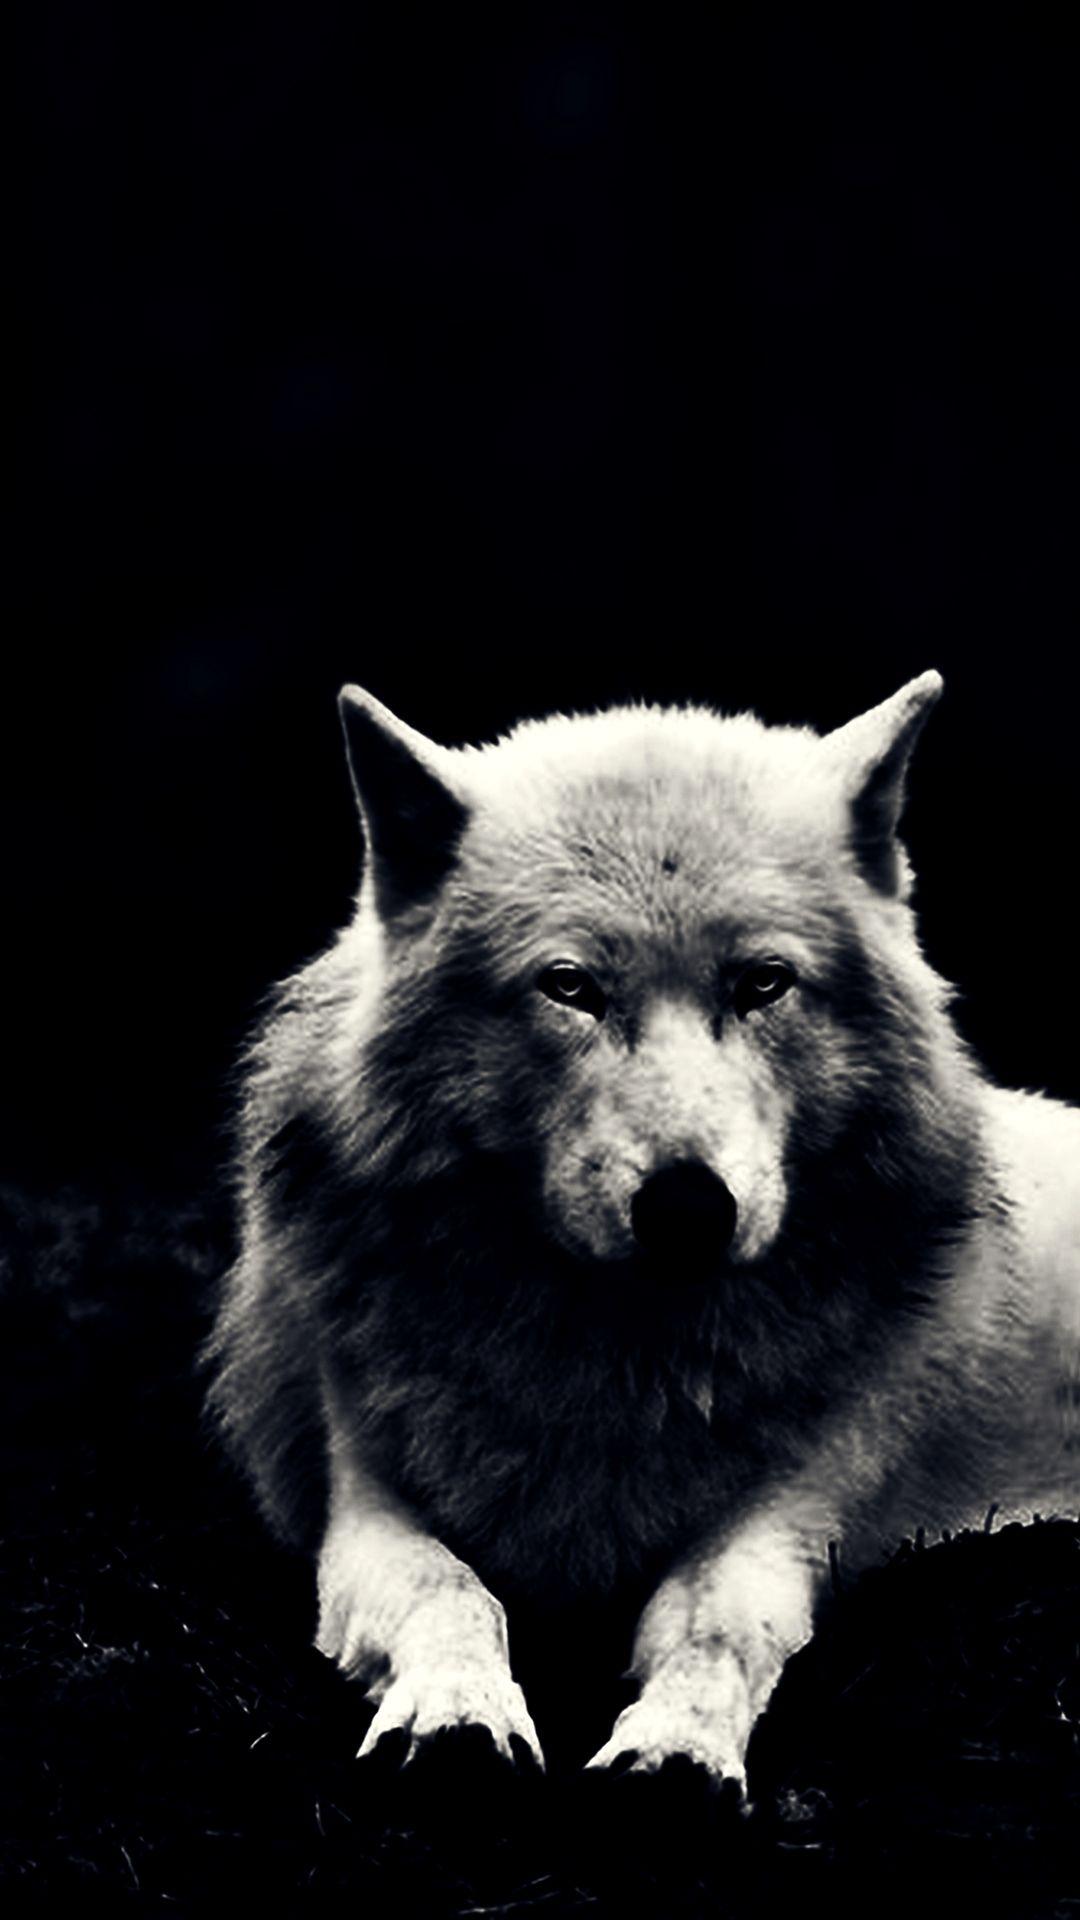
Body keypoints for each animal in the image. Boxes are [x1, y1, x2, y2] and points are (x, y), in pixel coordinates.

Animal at [206, 672, 1079, 1789]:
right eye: (571, 986)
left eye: (763, 983)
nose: (688, 1207)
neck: (620, 1363)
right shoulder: (362, 1501)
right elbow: (452, 1591)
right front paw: (456, 1715)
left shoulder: (797, 1508)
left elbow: (719, 1622)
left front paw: (676, 1746)